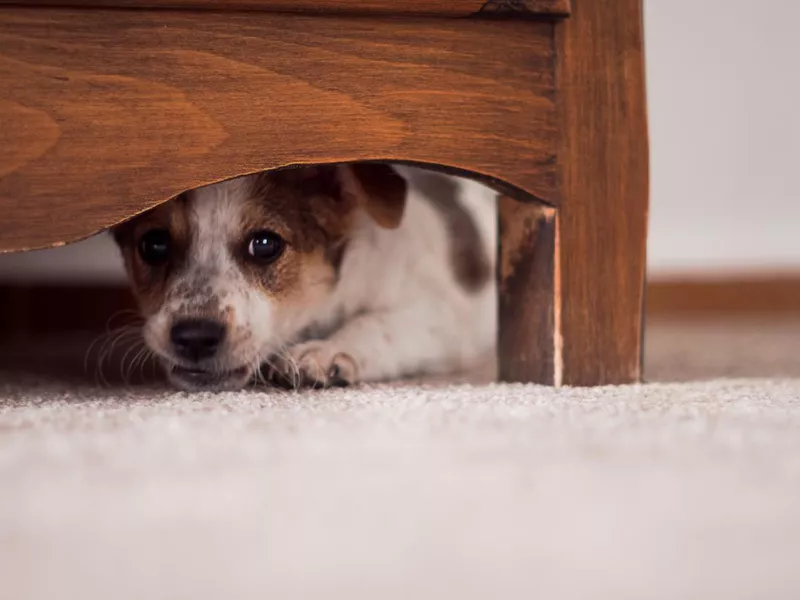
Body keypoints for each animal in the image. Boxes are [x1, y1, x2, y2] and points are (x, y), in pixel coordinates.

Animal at [115, 164, 496, 392]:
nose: (194, 337)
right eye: (154, 244)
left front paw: (327, 351)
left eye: (265, 245)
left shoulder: (438, 315)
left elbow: (377, 323)